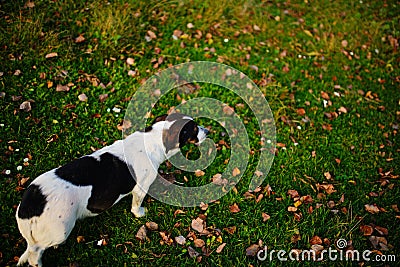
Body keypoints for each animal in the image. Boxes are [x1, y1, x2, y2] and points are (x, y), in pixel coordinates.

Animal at [15, 113, 209, 267]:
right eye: (193, 129)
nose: (208, 131)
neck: (152, 138)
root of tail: (30, 207)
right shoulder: (141, 188)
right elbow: (136, 206)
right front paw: (140, 213)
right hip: (60, 231)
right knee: (36, 253)